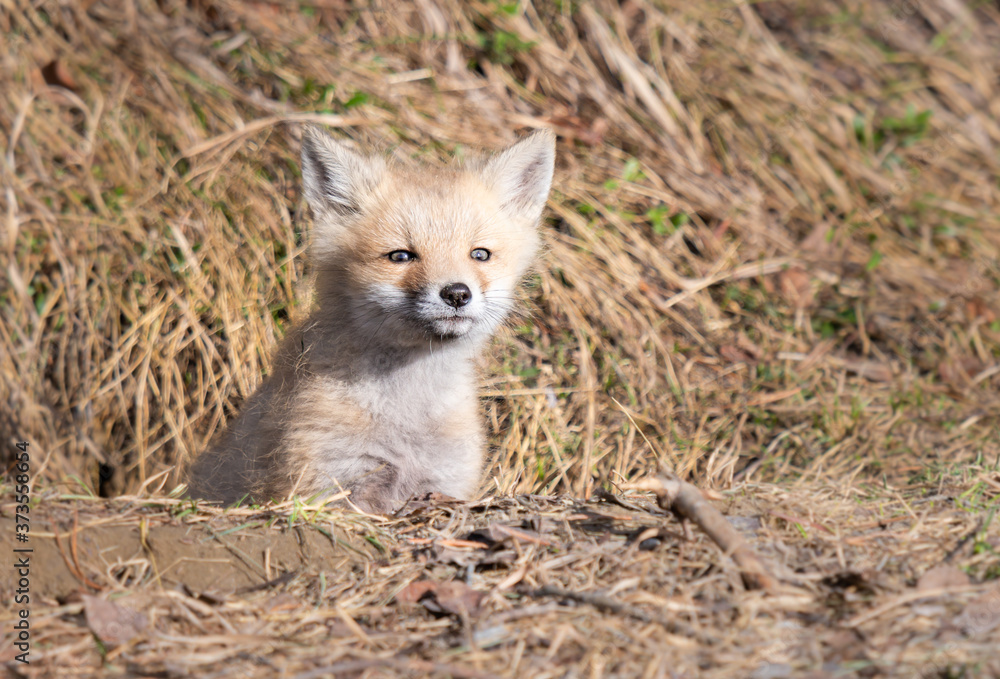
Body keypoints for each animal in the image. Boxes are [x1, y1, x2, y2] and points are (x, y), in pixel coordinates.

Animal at [187, 126, 555, 513]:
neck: (407, 419)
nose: (457, 294)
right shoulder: (324, 481)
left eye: (480, 254)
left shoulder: (442, 483)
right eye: (400, 256)